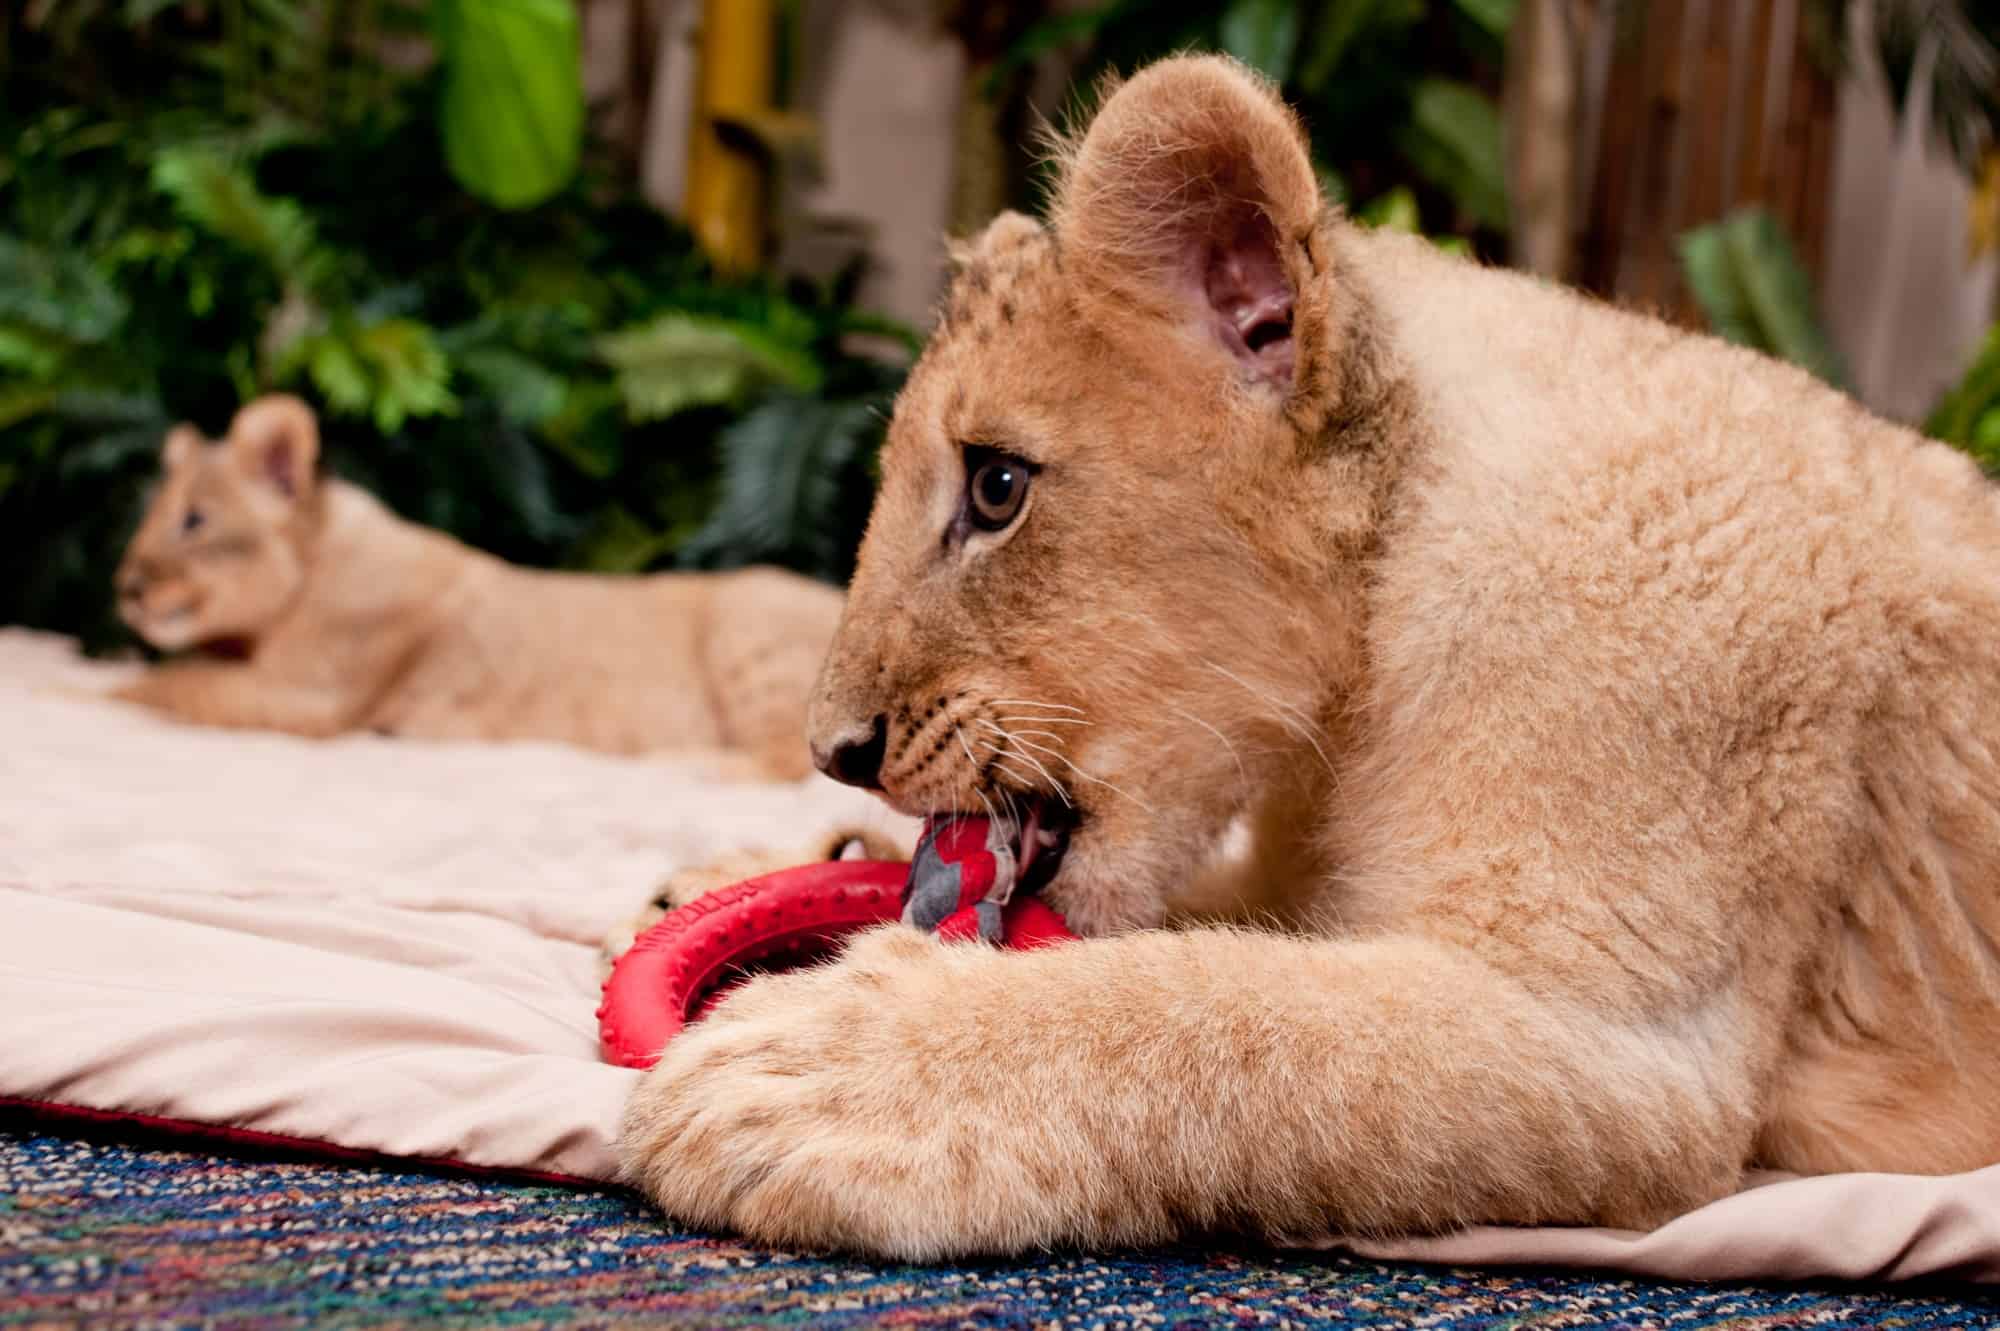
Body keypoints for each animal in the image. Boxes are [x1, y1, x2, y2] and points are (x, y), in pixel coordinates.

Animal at [112, 394, 841, 775]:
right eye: (149, 512)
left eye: (193, 519)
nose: (124, 587)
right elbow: (174, 671)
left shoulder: (312, 697)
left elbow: (166, 683)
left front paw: (87, 691)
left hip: (750, 627)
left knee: (782, 761)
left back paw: (677, 763)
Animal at [615, 55, 2000, 1258]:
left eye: (996, 486)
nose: (833, 751)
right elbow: (1196, 940)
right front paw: (740, 874)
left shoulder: (1623, 1037)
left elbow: (1227, 1014)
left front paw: (817, 1070)